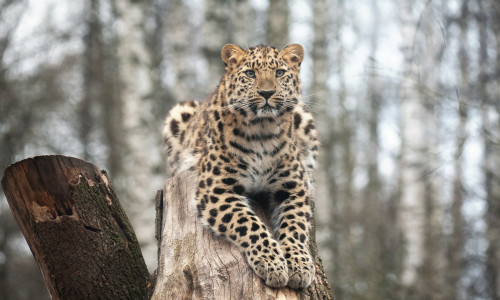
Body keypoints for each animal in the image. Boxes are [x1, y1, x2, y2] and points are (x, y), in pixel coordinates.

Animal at [164, 42, 320, 288]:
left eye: (279, 73)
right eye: (250, 74)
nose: (267, 93)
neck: (262, 132)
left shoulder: (293, 189)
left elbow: (295, 226)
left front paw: (299, 264)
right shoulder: (215, 189)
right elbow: (248, 223)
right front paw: (272, 263)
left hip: (303, 116)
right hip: (178, 114)